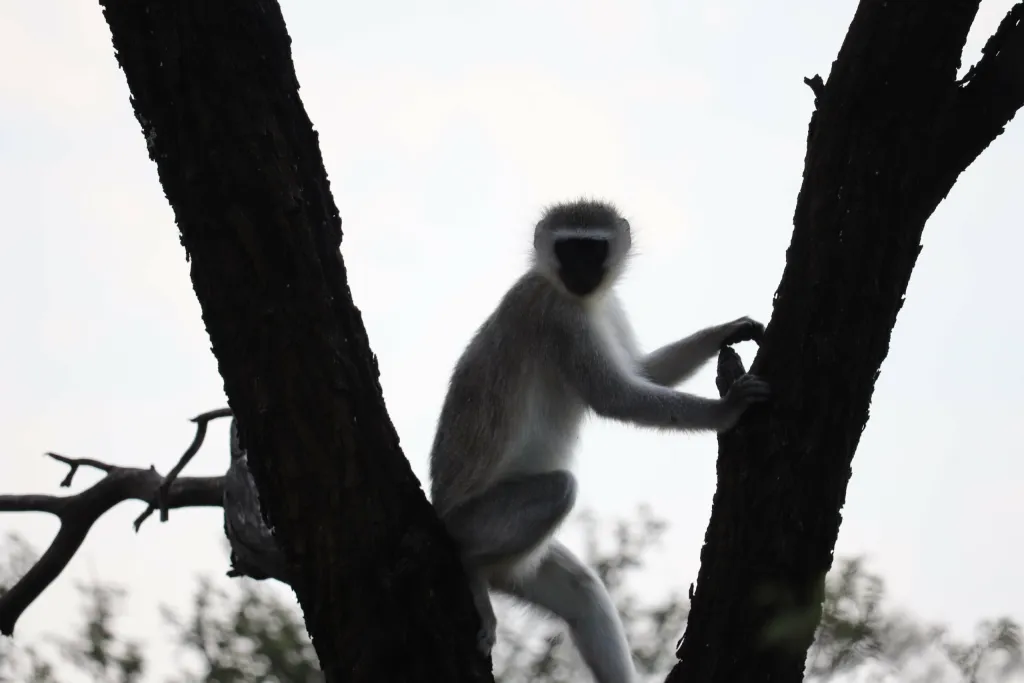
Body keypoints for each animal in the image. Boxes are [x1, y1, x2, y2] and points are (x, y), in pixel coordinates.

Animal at [425, 200, 770, 683]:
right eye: (569, 249)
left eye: (593, 249)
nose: (581, 272)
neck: (571, 293)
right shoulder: (561, 319)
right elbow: (616, 396)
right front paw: (727, 409)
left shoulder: (605, 305)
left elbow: (645, 372)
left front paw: (725, 330)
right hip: (469, 523)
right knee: (557, 490)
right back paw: (470, 567)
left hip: (525, 566)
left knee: (584, 594)